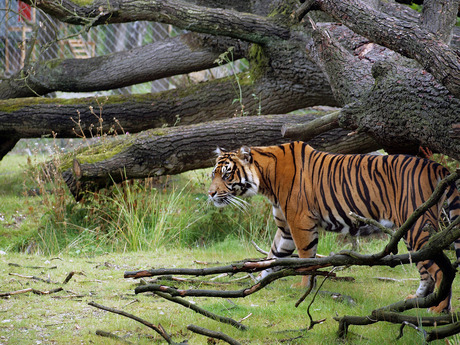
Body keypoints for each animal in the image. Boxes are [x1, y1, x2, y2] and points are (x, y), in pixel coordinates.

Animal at [208, 140, 460, 312]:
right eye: (213, 174)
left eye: (227, 175)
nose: (210, 194)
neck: (266, 179)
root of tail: (437, 166)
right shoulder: (285, 229)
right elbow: (273, 256)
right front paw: (259, 282)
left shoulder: (300, 222)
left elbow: (305, 259)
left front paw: (302, 288)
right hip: (411, 230)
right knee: (425, 270)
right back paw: (417, 301)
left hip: (418, 226)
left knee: (440, 270)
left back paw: (438, 310)